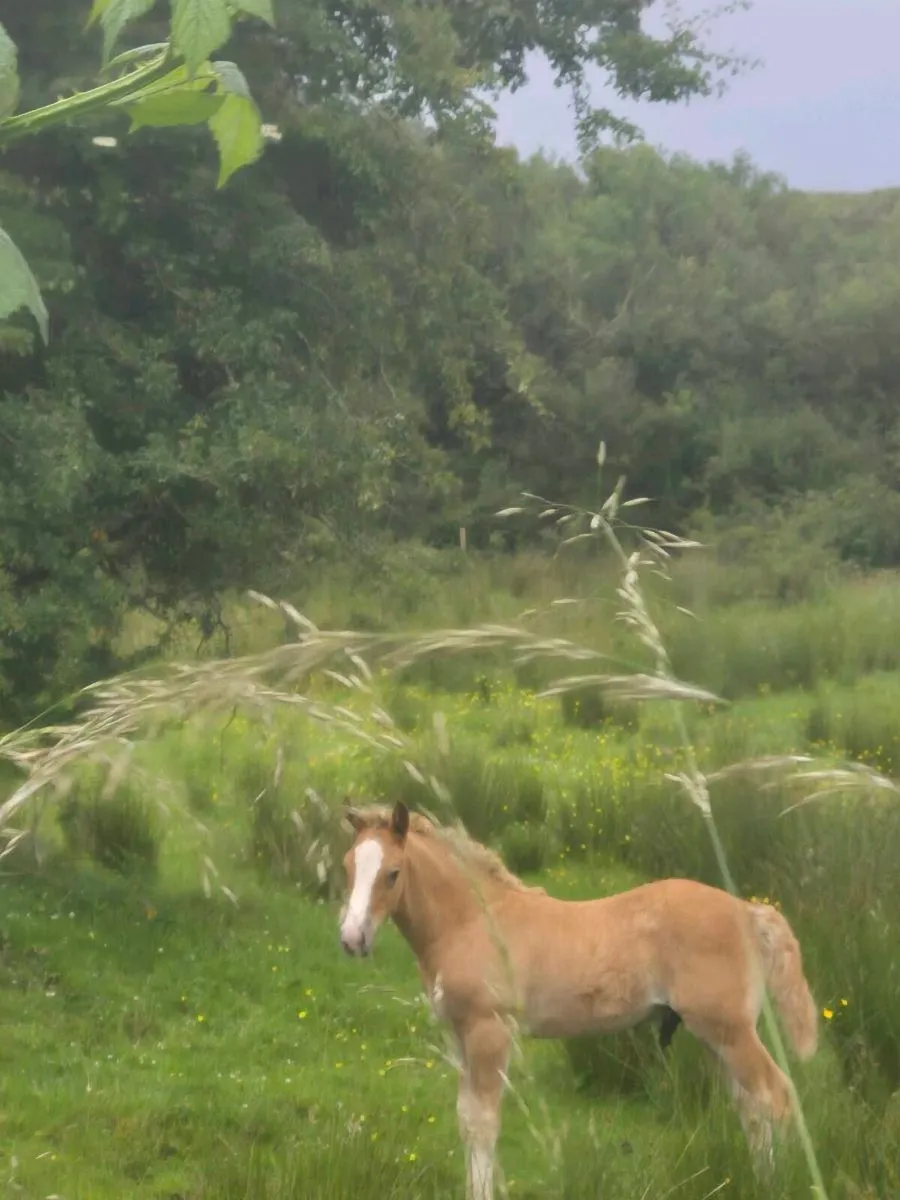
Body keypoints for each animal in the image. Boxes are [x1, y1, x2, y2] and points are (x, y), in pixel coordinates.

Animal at [338, 801, 818, 1200]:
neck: (472, 921)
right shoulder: (458, 1035)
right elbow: (467, 1120)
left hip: (729, 1030)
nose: (351, 939)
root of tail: (748, 911)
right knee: (752, 1108)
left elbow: (485, 1123)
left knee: (777, 1096)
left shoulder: (490, 1030)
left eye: (393, 873)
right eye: (347, 867)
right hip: (716, 1036)